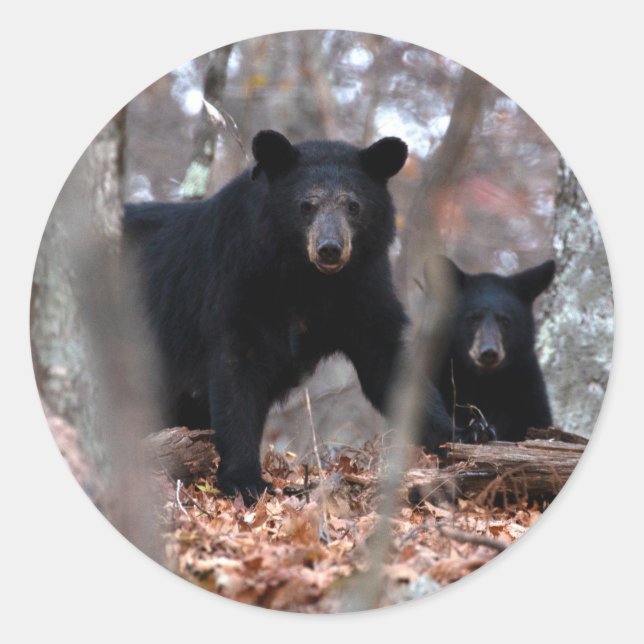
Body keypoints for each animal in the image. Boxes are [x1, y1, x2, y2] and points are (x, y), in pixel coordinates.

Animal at [123, 130, 485, 502]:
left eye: (353, 206)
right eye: (306, 205)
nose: (330, 249)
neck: (308, 280)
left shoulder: (364, 288)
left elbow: (388, 365)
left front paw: (465, 434)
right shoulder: (237, 282)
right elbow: (236, 375)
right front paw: (245, 480)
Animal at [436, 257, 555, 442]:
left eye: (505, 321)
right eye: (473, 319)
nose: (489, 352)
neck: (484, 380)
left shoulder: (527, 386)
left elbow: (534, 419)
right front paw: (475, 430)